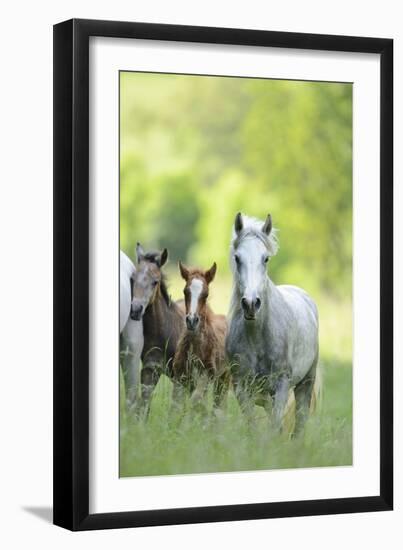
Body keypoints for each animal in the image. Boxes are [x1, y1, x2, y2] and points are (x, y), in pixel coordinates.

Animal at [227, 213, 318, 438]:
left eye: (265, 258)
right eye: (237, 258)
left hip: (306, 382)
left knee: (300, 420)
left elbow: (276, 425)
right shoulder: (241, 387)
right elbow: (253, 425)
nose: (251, 304)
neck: (258, 337)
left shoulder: (282, 384)